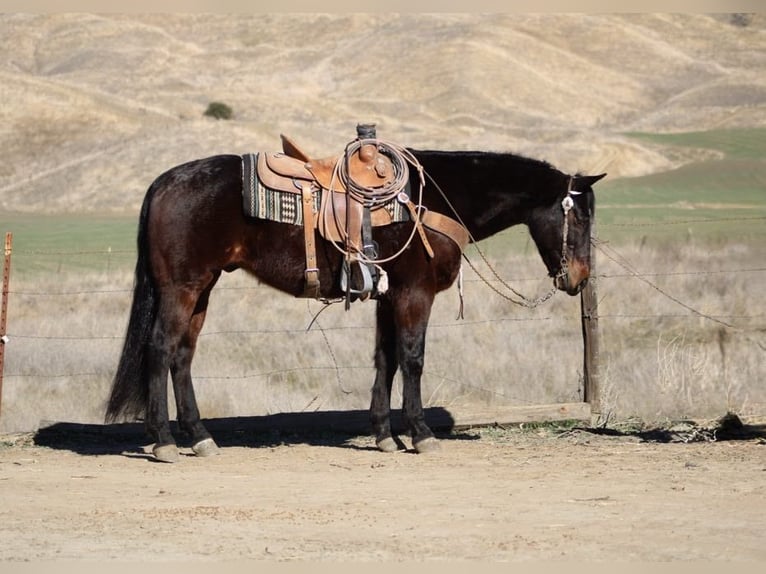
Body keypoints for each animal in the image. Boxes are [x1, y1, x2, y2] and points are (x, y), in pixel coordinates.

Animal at [105, 135, 605, 462]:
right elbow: (413, 359)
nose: (579, 278)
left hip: (202, 290)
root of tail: (165, 182)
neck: (435, 196)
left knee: (182, 357)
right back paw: (165, 442)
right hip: (182, 288)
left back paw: (200, 437)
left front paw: (385, 434)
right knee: (161, 350)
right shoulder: (415, 293)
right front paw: (421, 434)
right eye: (580, 218)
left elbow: (386, 359)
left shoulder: (389, 296)